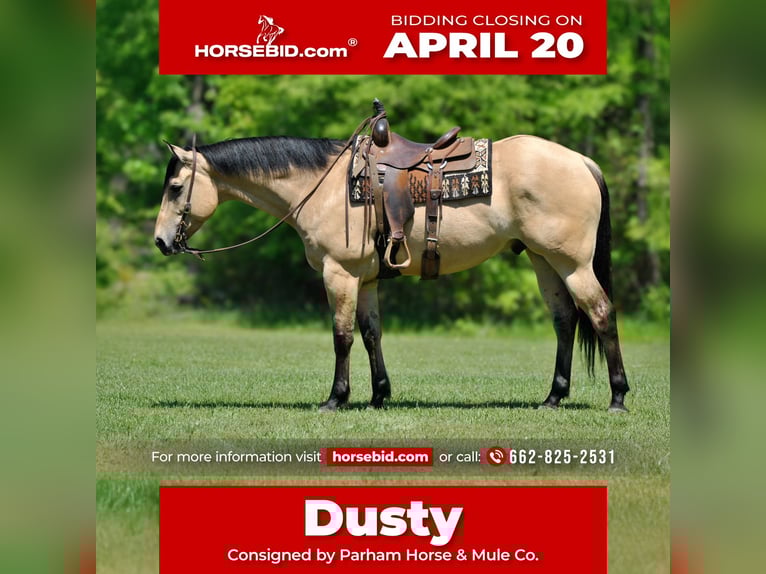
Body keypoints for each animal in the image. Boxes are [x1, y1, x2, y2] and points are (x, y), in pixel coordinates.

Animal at [153, 125, 630, 413]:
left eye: (176, 187)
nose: (160, 241)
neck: (325, 186)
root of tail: (581, 161)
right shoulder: (364, 279)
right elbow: (370, 334)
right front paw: (379, 394)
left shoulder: (339, 273)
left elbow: (342, 337)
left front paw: (336, 399)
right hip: (543, 260)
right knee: (565, 320)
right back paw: (554, 396)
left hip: (572, 264)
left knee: (602, 314)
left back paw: (618, 396)